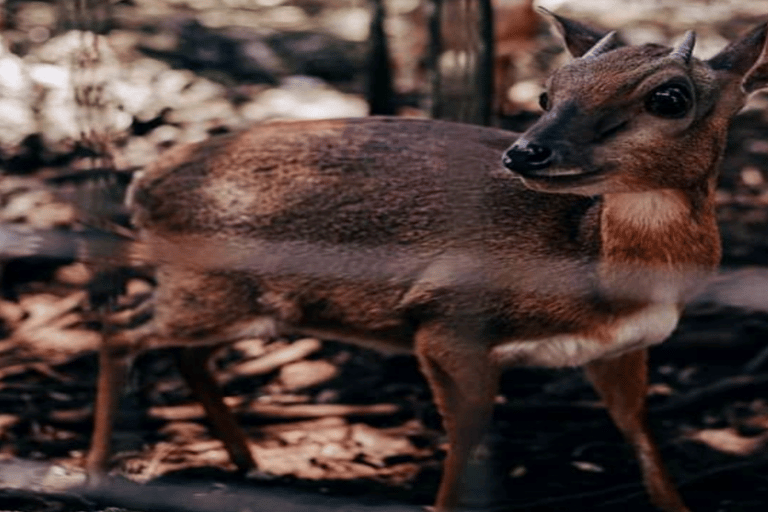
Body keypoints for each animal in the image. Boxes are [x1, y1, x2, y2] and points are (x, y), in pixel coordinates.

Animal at [84, 12, 768, 512]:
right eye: (546, 93)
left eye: (669, 97)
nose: (527, 152)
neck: (596, 268)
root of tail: (143, 186)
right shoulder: (443, 323)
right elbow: (465, 432)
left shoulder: (621, 347)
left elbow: (639, 431)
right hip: (205, 287)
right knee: (119, 331)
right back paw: (94, 474)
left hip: (241, 301)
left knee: (182, 351)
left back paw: (249, 462)